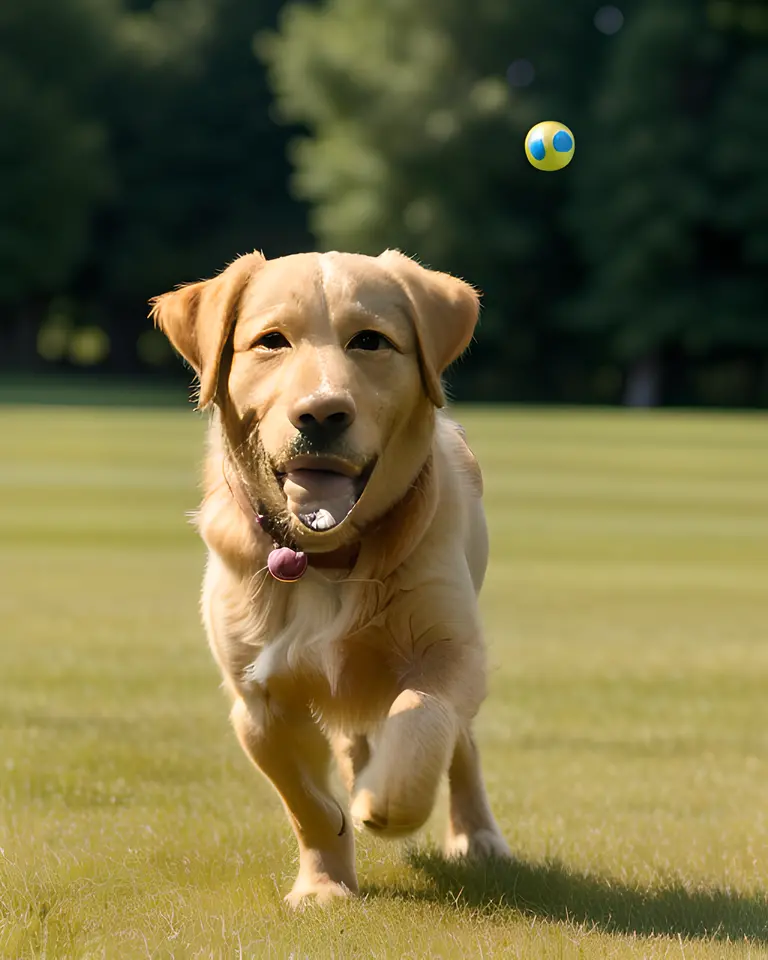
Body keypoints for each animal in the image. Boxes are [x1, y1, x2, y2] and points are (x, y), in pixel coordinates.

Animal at [150, 248, 510, 908]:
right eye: (271, 341)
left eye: (370, 341)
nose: (321, 413)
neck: (324, 557)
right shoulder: (258, 699)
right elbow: (307, 803)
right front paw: (324, 885)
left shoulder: (451, 651)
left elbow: (423, 719)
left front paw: (386, 800)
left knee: (461, 745)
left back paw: (476, 837)